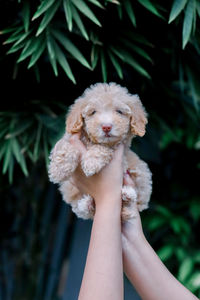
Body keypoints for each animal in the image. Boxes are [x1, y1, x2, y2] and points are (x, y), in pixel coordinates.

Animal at [48, 82, 152, 220]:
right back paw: (87, 203)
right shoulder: (68, 138)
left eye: (119, 111)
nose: (106, 127)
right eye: (93, 112)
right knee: (85, 210)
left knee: (138, 203)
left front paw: (91, 162)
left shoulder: (119, 149)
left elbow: (104, 148)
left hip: (142, 173)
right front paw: (58, 170)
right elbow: (66, 147)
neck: (92, 141)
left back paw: (128, 195)